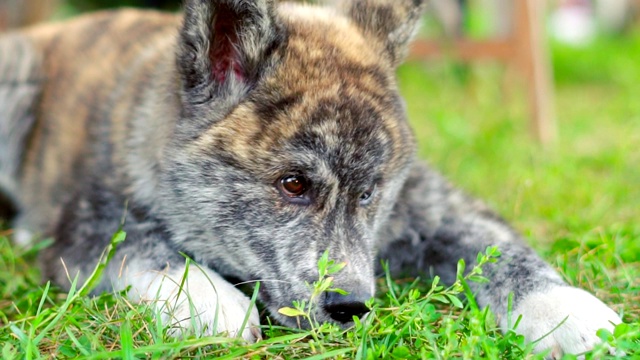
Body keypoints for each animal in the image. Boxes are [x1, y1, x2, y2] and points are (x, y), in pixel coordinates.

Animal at [0, 0, 620, 354]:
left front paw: (570, 312)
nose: (350, 307)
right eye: (292, 184)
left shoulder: (430, 207)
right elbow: (141, 243)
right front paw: (205, 296)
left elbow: (498, 246)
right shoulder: (88, 222)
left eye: (369, 193)